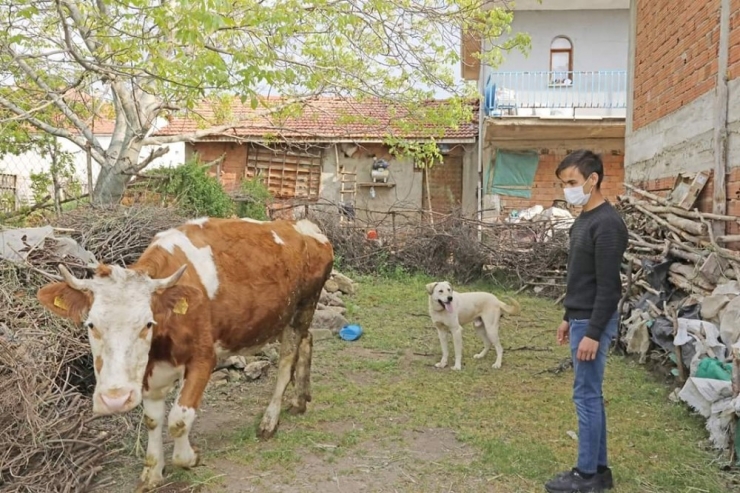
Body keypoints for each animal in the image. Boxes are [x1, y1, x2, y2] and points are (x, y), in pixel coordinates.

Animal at [36, 217, 332, 490]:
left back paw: (270, 421)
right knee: (308, 340)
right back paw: (300, 399)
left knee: (286, 363)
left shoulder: (203, 359)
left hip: (302, 308)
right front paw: (152, 473)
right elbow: (152, 420)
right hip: (283, 317)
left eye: (147, 324)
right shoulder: (149, 371)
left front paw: (190, 458)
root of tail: (303, 225)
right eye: (91, 324)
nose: (115, 400)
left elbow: (179, 419)